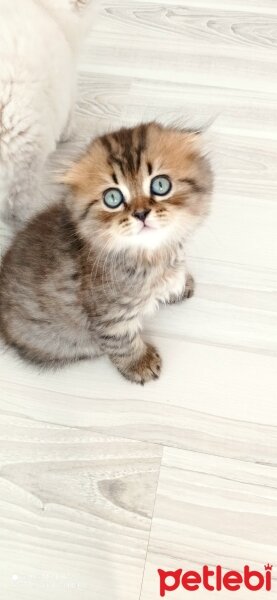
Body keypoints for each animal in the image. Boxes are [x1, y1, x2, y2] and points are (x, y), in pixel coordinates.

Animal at [0, 122, 212, 384]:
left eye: (160, 185)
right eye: (113, 198)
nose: (141, 213)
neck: (151, 254)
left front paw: (179, 285)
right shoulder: (110, 317)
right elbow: (123, 344)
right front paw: (140, 364)